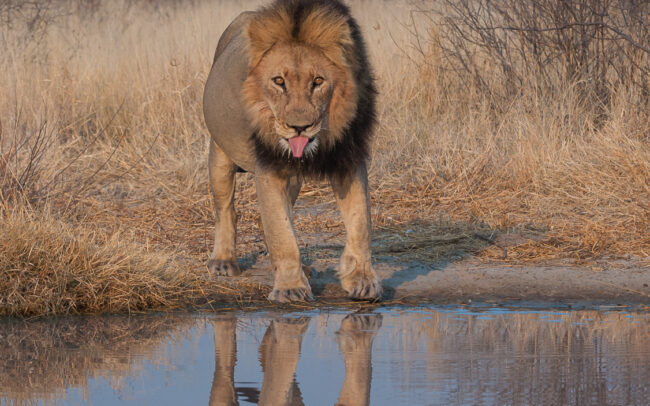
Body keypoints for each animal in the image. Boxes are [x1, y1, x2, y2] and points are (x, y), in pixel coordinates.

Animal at [202, 0, 381, 302]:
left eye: (318, 81)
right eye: (278, 81)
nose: (300, 127)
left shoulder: (348, 158)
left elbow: (360, 224)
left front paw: (362, 281)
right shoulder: (269, 167)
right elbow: (282, 235)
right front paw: (290, 288)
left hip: (293, 180)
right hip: (220, 153)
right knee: (226, 210)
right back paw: (223, 262)